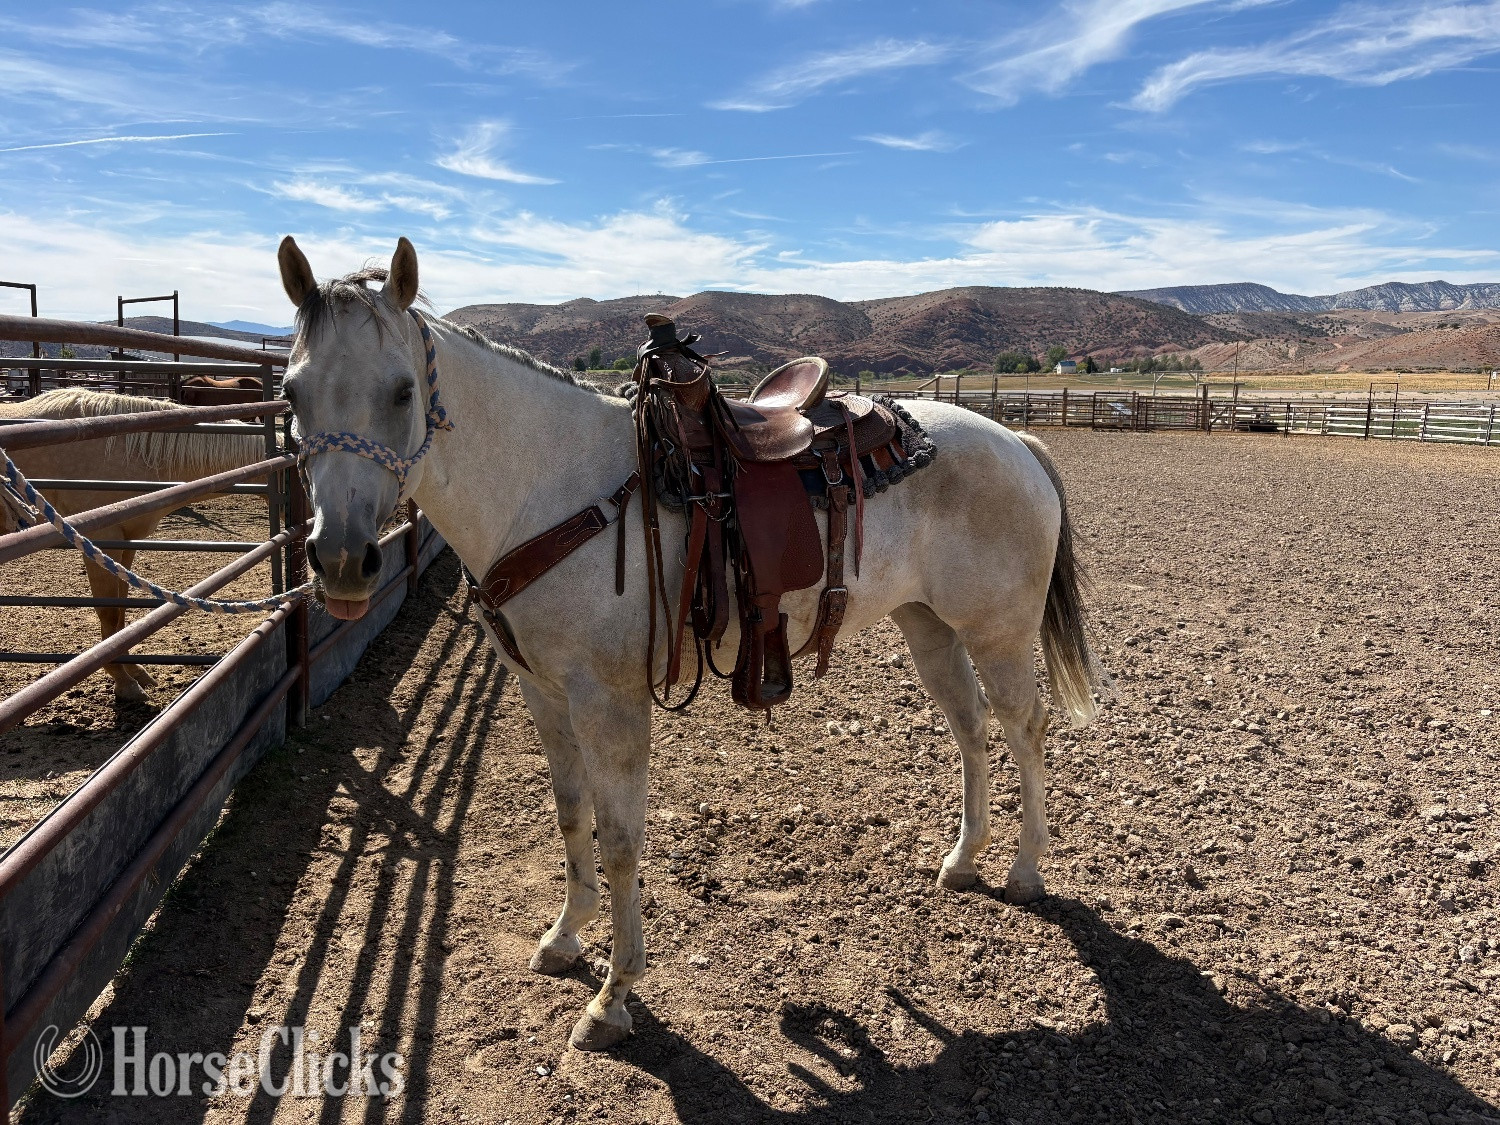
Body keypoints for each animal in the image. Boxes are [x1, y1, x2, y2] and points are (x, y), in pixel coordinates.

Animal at [0, 389, 264, 700]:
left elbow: (122, 610)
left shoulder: (125, 544)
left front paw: (134, 670)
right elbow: (109, 610)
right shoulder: (102, 540)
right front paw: (124, 682)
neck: (128, 450)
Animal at [275, 235, 1104, 1051]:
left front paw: (612, 997)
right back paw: (963, 859)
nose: (342, 560)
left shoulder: (610, 702)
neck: (550, 488)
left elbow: (620, 839)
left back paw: (1024, 868)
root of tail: (1015, 439)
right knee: (969, 727)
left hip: (999, 632)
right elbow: (570, 812)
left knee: (1025, 728)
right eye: (290, 394)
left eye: (402, 391)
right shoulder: (540, 689)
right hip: (929, 626)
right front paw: (564, 937)